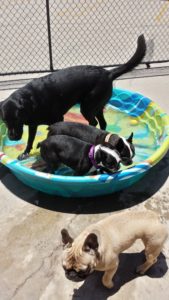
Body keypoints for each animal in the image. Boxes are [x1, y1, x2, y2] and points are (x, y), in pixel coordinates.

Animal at [0, 34, 145, 159]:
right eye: (4, 120)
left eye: (17, 119)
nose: (12, 138)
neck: (32, 102)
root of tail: (108, 73)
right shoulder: (32, 125)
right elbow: (30, 140)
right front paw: (25, 153)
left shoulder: (58, 119)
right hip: (96, 106)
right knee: (102, 123)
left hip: (87, 107)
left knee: (94, 123)